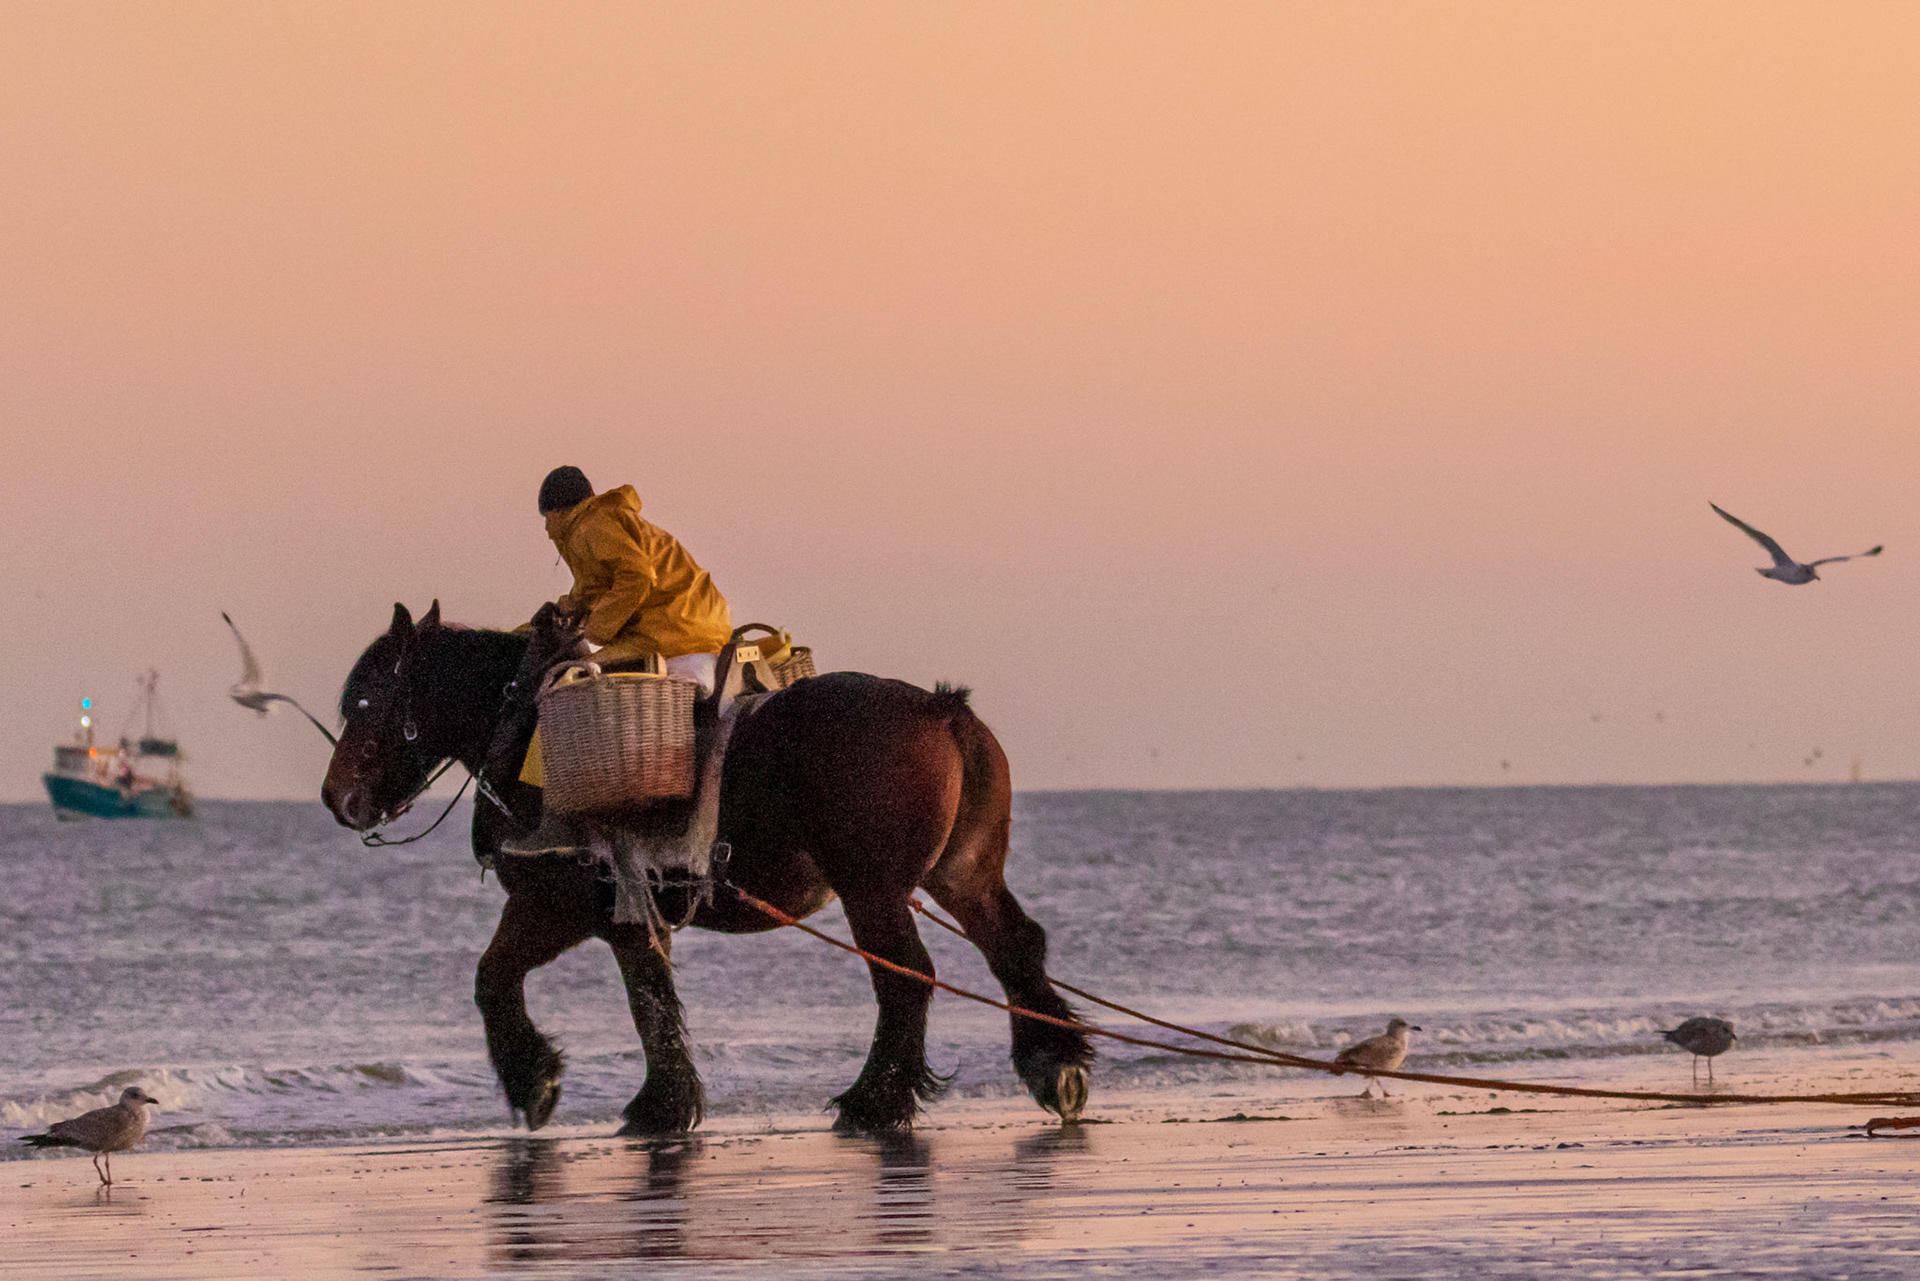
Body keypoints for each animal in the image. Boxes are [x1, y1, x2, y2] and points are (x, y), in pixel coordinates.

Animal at [320, 601, 1093, 1136]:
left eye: (366, 699)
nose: (335, 799)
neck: (522, 724)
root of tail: (941, 710)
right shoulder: (627, 917)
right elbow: (649, 1001)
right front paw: (661, 1102)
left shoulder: (558, 906)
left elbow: (502, 980)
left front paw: (538, 1081)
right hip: (962, 874)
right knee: (1014, 947)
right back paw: (1053, 1060)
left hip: (872, 890)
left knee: (905, 978)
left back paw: (875, 1101)